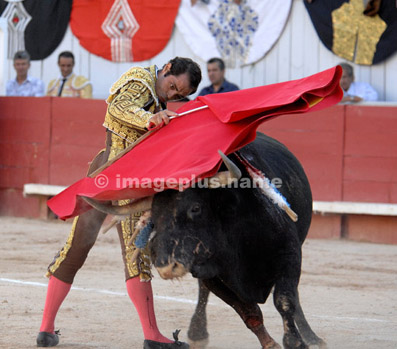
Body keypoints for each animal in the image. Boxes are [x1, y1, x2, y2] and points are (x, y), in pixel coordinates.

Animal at [148, 133, 324, 348]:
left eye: (195, 208)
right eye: (153, 216)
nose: (166, 267)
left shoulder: (290, 255)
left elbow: (285, 301)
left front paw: (296, 342)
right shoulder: (213, 275)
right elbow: (248, 312)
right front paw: (270, 343)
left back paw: (312, 336)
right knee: (203, 292)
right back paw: (197, 332)